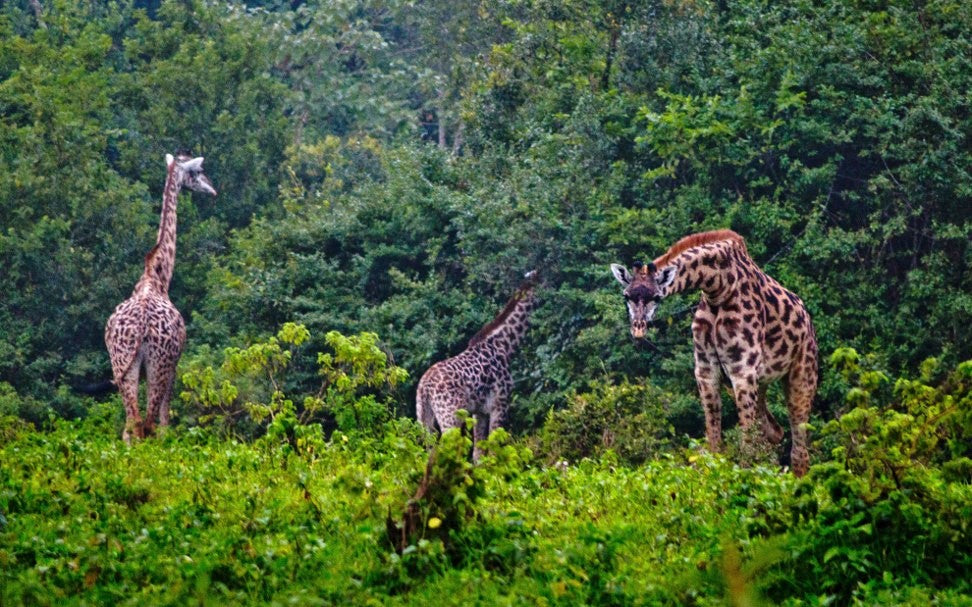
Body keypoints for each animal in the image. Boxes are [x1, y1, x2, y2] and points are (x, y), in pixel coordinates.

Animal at [104, 154, 215, 444]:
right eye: (199, 171)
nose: (212, 190)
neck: (158, 277)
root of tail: (142, 325)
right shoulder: (174, 364)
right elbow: (166, 421)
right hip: (159, 363)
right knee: (149, 424)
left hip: (121, 362)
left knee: (131, 425)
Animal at [416, 272, 544, 460]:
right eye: (545, 282)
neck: (505, 345)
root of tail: (424, 386)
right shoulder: (500, 403)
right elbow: (493, 450)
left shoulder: (480, 411)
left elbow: (478, 453)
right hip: (449, 416)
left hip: (424, 416)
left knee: (428, 451)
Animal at [612, 230, 816, 478]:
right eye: (626, 296)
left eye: (656, 297)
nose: (638, 330)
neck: (718, 288)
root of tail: (808, 320)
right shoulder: (706, 370)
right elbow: (714, 442)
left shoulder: (743, 371)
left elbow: (745, 442)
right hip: (761, 383)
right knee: (773, 431)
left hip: (801, 373)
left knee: (799, 447)